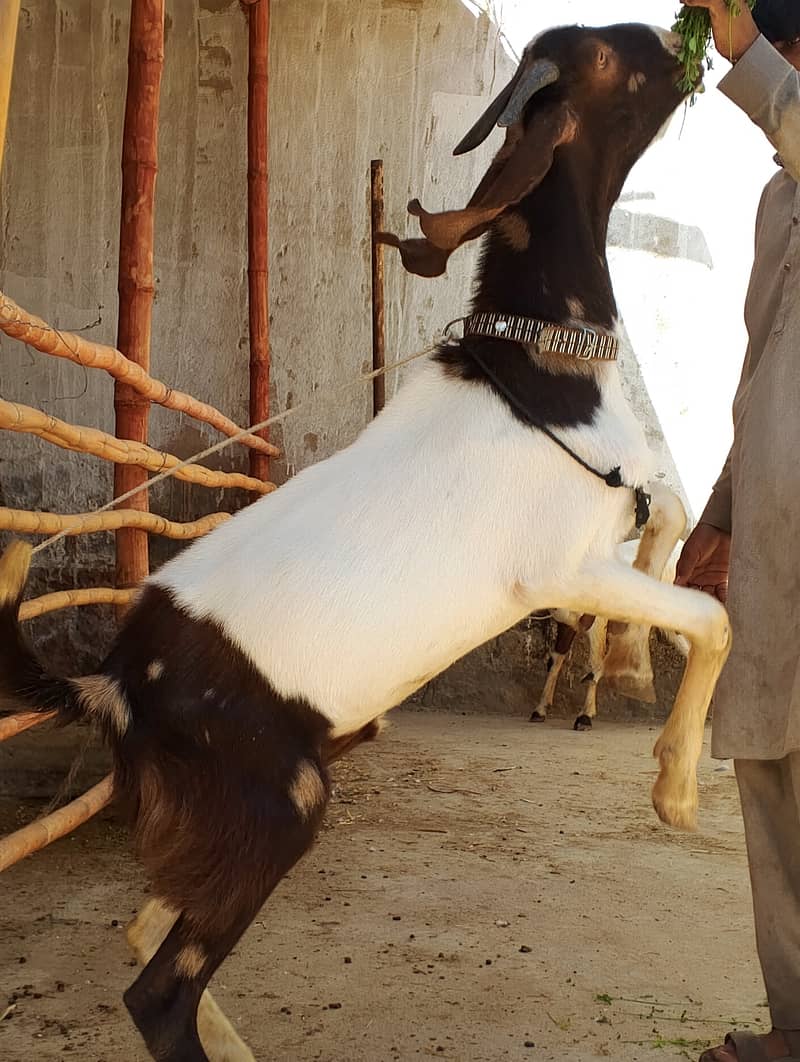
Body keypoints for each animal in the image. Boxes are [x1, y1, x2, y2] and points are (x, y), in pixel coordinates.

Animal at [0, 24, 728, 1062]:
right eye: (608, 61)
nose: (683, 41)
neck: (532, 372)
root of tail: (111, 684)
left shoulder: (608, 523)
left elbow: (668, 521)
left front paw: (629, 665)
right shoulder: (558, 566)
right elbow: (709, 614)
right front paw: (674, 787)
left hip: (224, 813)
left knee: (145, 922)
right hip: (279, 802)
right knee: (158, 988)